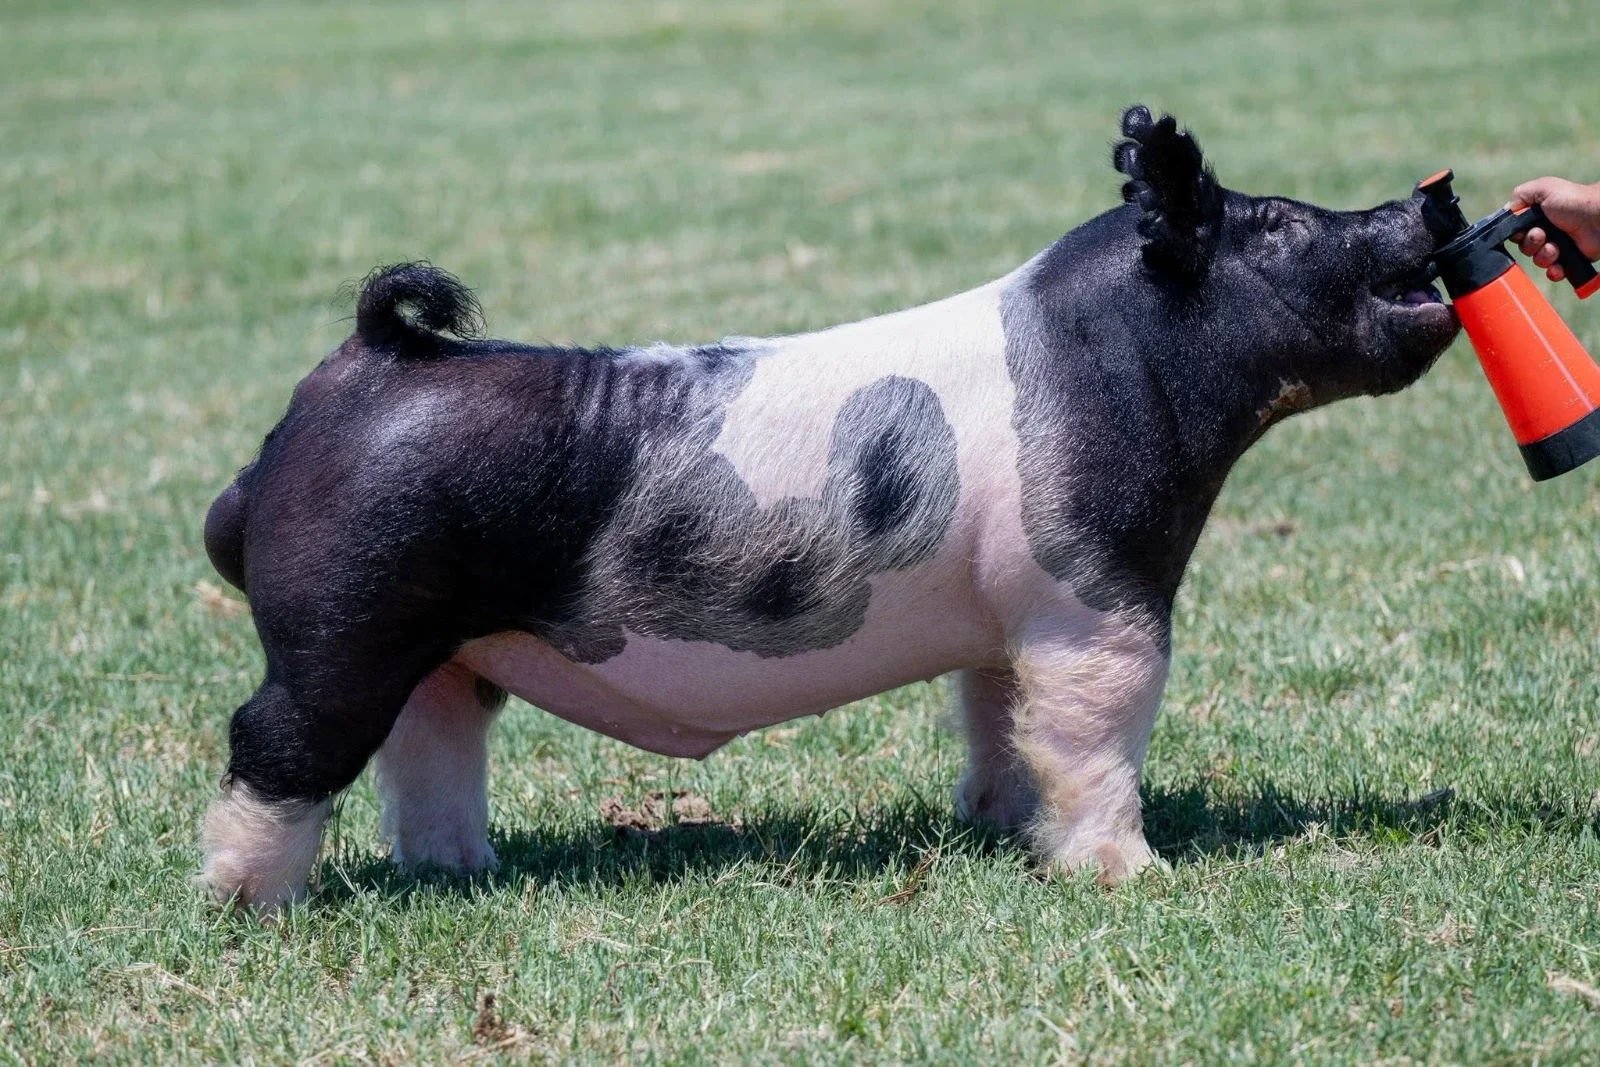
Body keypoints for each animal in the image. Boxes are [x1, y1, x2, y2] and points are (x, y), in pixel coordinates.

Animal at [199, 106, 1457, 907]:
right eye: (1281, 224)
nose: (1422, 199)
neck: (1124, 363)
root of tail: (356, 370)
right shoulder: (1096, 593)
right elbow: (1094, 733)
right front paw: (1129, 876)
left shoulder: (1007, 614)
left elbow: (1000, 718)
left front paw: (995, 827)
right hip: (341, 622)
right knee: (273, 740)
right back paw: (248, 904)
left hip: (440, 647)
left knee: (431, 748)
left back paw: (464, 873)